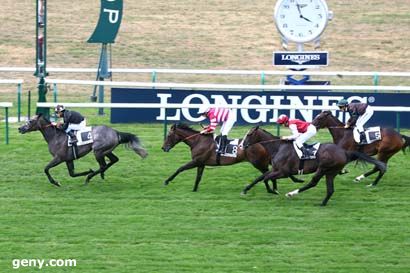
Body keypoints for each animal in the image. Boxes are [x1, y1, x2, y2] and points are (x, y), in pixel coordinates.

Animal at [18, 113, 149, 186]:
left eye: (30, 121)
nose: (20, 128)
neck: (55, 136)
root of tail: (116, 132)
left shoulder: (59, 158)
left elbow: (46, 169)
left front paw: (55, 183)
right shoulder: (68, 159)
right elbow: (72, 174)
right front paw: (87, 171)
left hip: (98, 151)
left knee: (103, 165)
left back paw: (90, 177)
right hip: (106, 151)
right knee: (113, 160)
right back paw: (100, 174)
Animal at [161, 122, 304, 192]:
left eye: (169, 136)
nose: (163, 148)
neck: (198, 141)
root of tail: (262, 144)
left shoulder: (196, 161)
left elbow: (180, 168)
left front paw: (167, 181)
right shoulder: (201, 163)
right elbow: (198, 177)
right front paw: (194, 190)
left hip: (258, 163)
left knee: (266, 174)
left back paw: (271, 189)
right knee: (270, 174)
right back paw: (275, 188)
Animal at [242, 126, 386, 205]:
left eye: (249, 134)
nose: (242, 145)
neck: (278, 147)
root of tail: (344, 152)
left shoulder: (283, 172)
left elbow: (266, 178)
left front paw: (272, 190)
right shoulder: (276, 169)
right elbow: (260, 177)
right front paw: (245, 189)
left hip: (323, 168)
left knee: (313, 182)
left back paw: (292, 193)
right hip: (331, 172)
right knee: (330, 189)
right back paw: (322, 203)